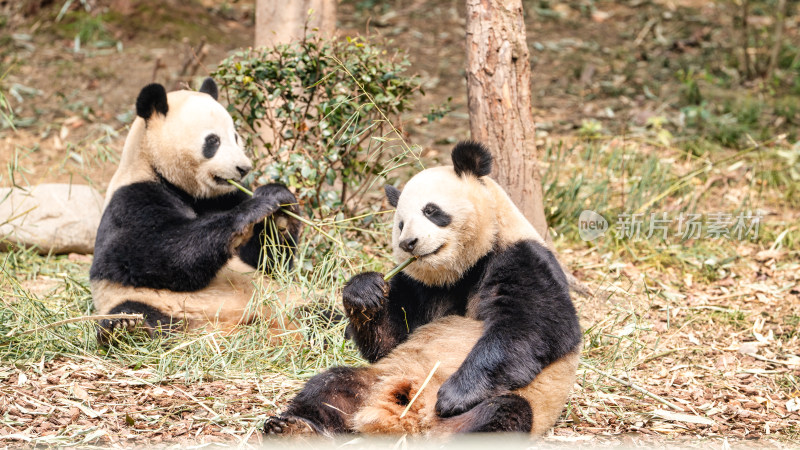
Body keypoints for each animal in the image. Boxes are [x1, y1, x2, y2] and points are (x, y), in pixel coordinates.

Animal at [90, 78, 304, 344]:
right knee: (138, 312)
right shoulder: (131, 200)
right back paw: (127, 329)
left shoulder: (224, 196)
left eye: (235, 136)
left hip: (285, 301)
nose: (243, 168)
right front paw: (252, 212)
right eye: (213, 141)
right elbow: (155, 253)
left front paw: (280, 205)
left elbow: (268, 262)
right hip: (157, 304)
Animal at [262, 142, 580, 436]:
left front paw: (454, 395)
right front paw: (364, 292)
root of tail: (411, 423)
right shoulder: (424, 286)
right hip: (377, 379)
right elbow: (390, 338)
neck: (466, 266)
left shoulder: (523, 258)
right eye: (400, 224)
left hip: (500, 408)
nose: (409, 243)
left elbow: (534, 327)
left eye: (431, 211)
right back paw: (294, 428)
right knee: (331, 386)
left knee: (503, 414)